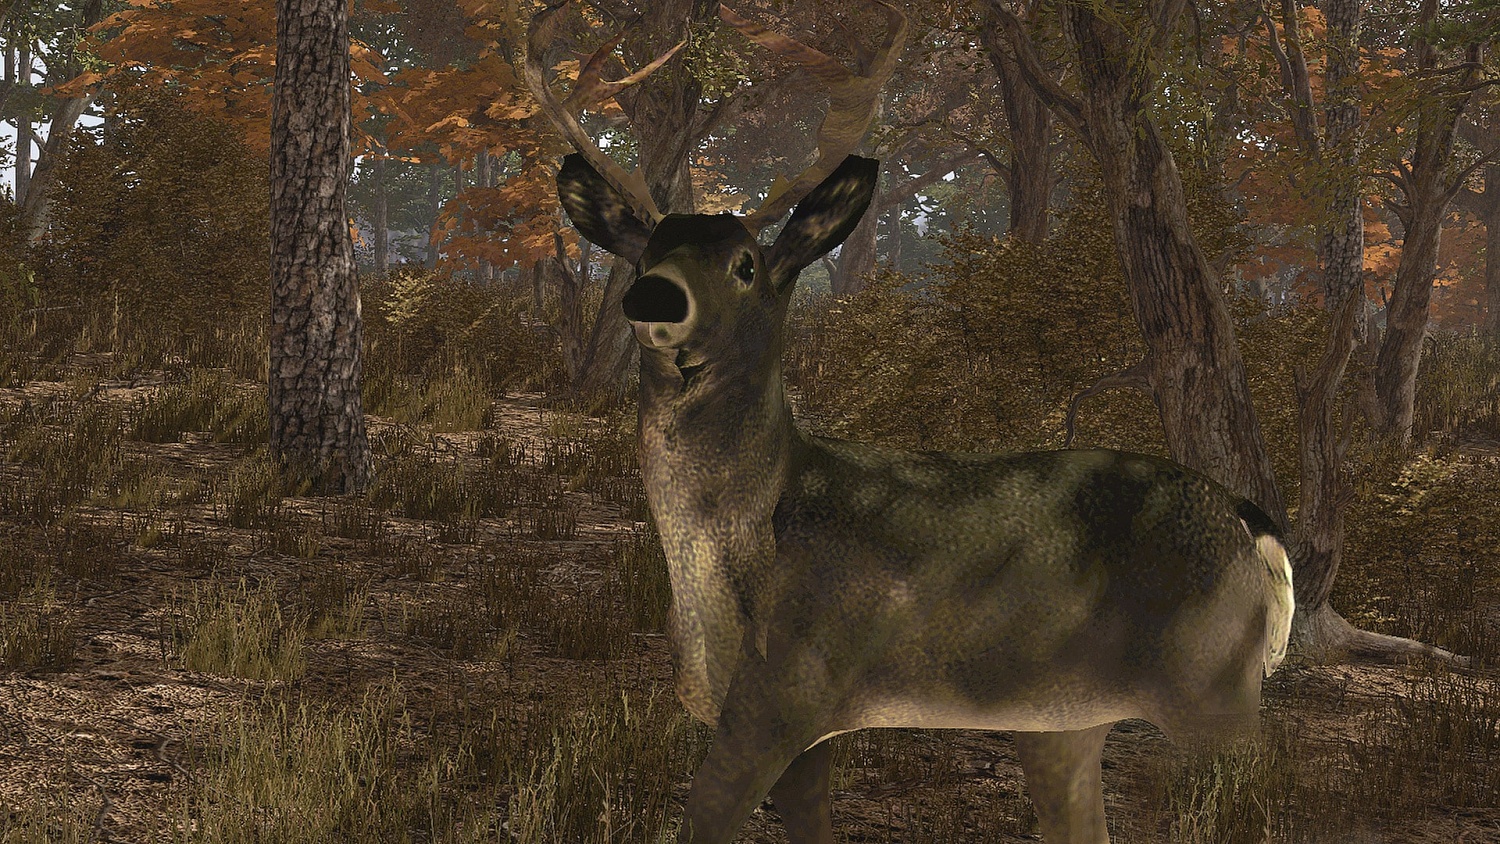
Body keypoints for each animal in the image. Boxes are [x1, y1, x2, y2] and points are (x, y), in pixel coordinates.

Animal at [524, 2, 1296, 842]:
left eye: (745, 263)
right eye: (644, 256)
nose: (656, 296)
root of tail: (1250, 521)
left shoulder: (790, 687)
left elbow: (705, 819)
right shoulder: (799, 724)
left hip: (1212, 687)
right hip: (1068, 719)